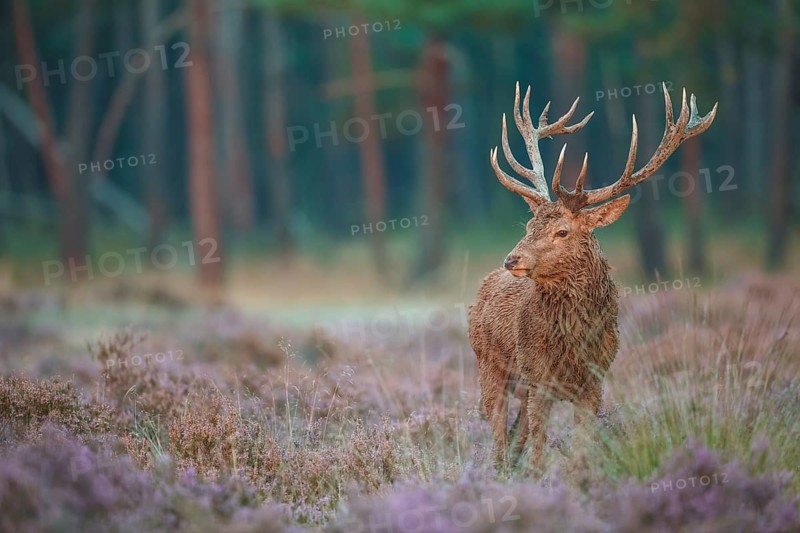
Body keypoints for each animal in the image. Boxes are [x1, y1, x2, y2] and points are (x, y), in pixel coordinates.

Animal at [468, 82, 716, 473]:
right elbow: (539, 455)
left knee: (514, 434)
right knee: (499, 437)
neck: (573, 346)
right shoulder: (538, 378)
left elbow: (581, 452)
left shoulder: (595, 382)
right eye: (528, 225)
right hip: (489, 365)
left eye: (562, 231)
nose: (512, 259)